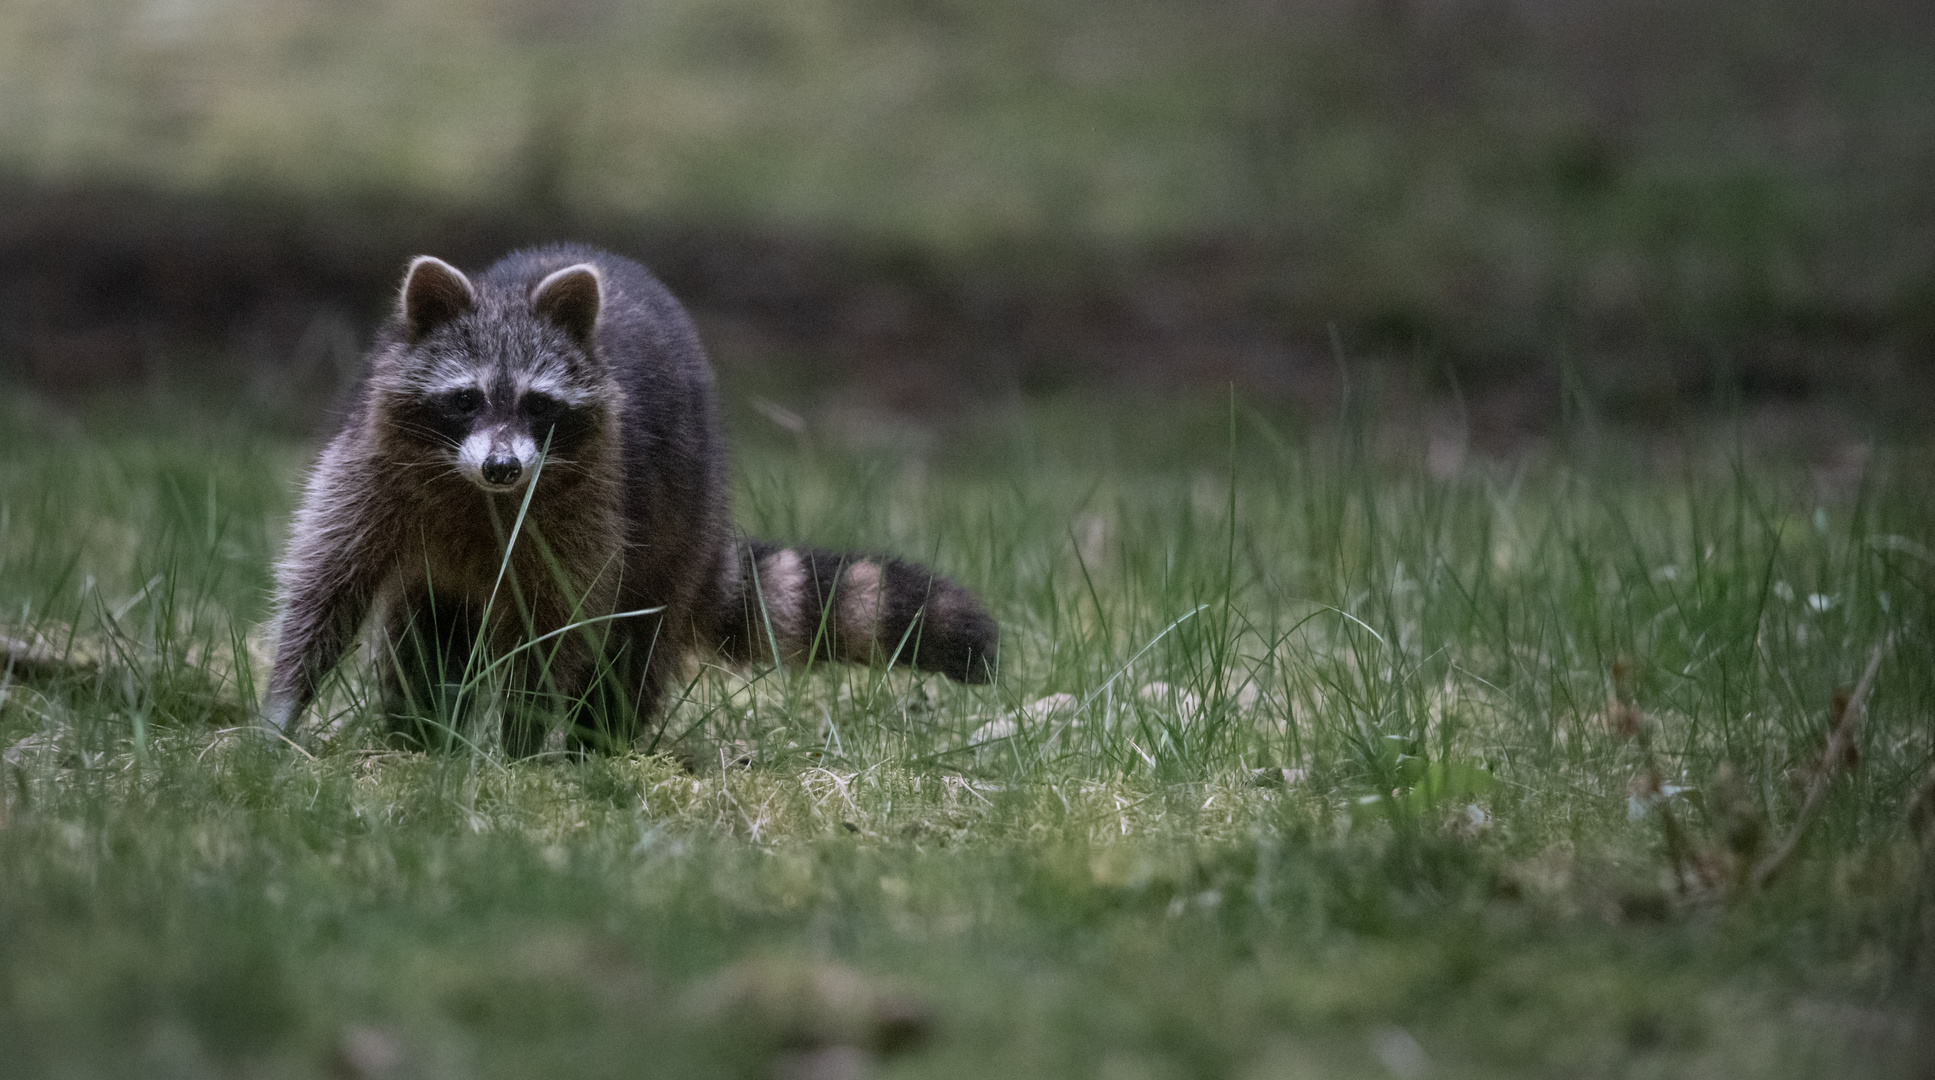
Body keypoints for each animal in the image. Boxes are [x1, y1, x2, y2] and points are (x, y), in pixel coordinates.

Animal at [261, 246, 998, 758]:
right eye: (465, 399)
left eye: (538, 404)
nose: (502, 468)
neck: (475, 494)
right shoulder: (369, 470)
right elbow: (324, 590)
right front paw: (282, 709)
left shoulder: (588, 512)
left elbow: (556, 630)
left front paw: (518, 746)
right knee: (423, 645)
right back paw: (419, 736)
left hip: (672, 530)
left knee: (628, 653)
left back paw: (596, 746)